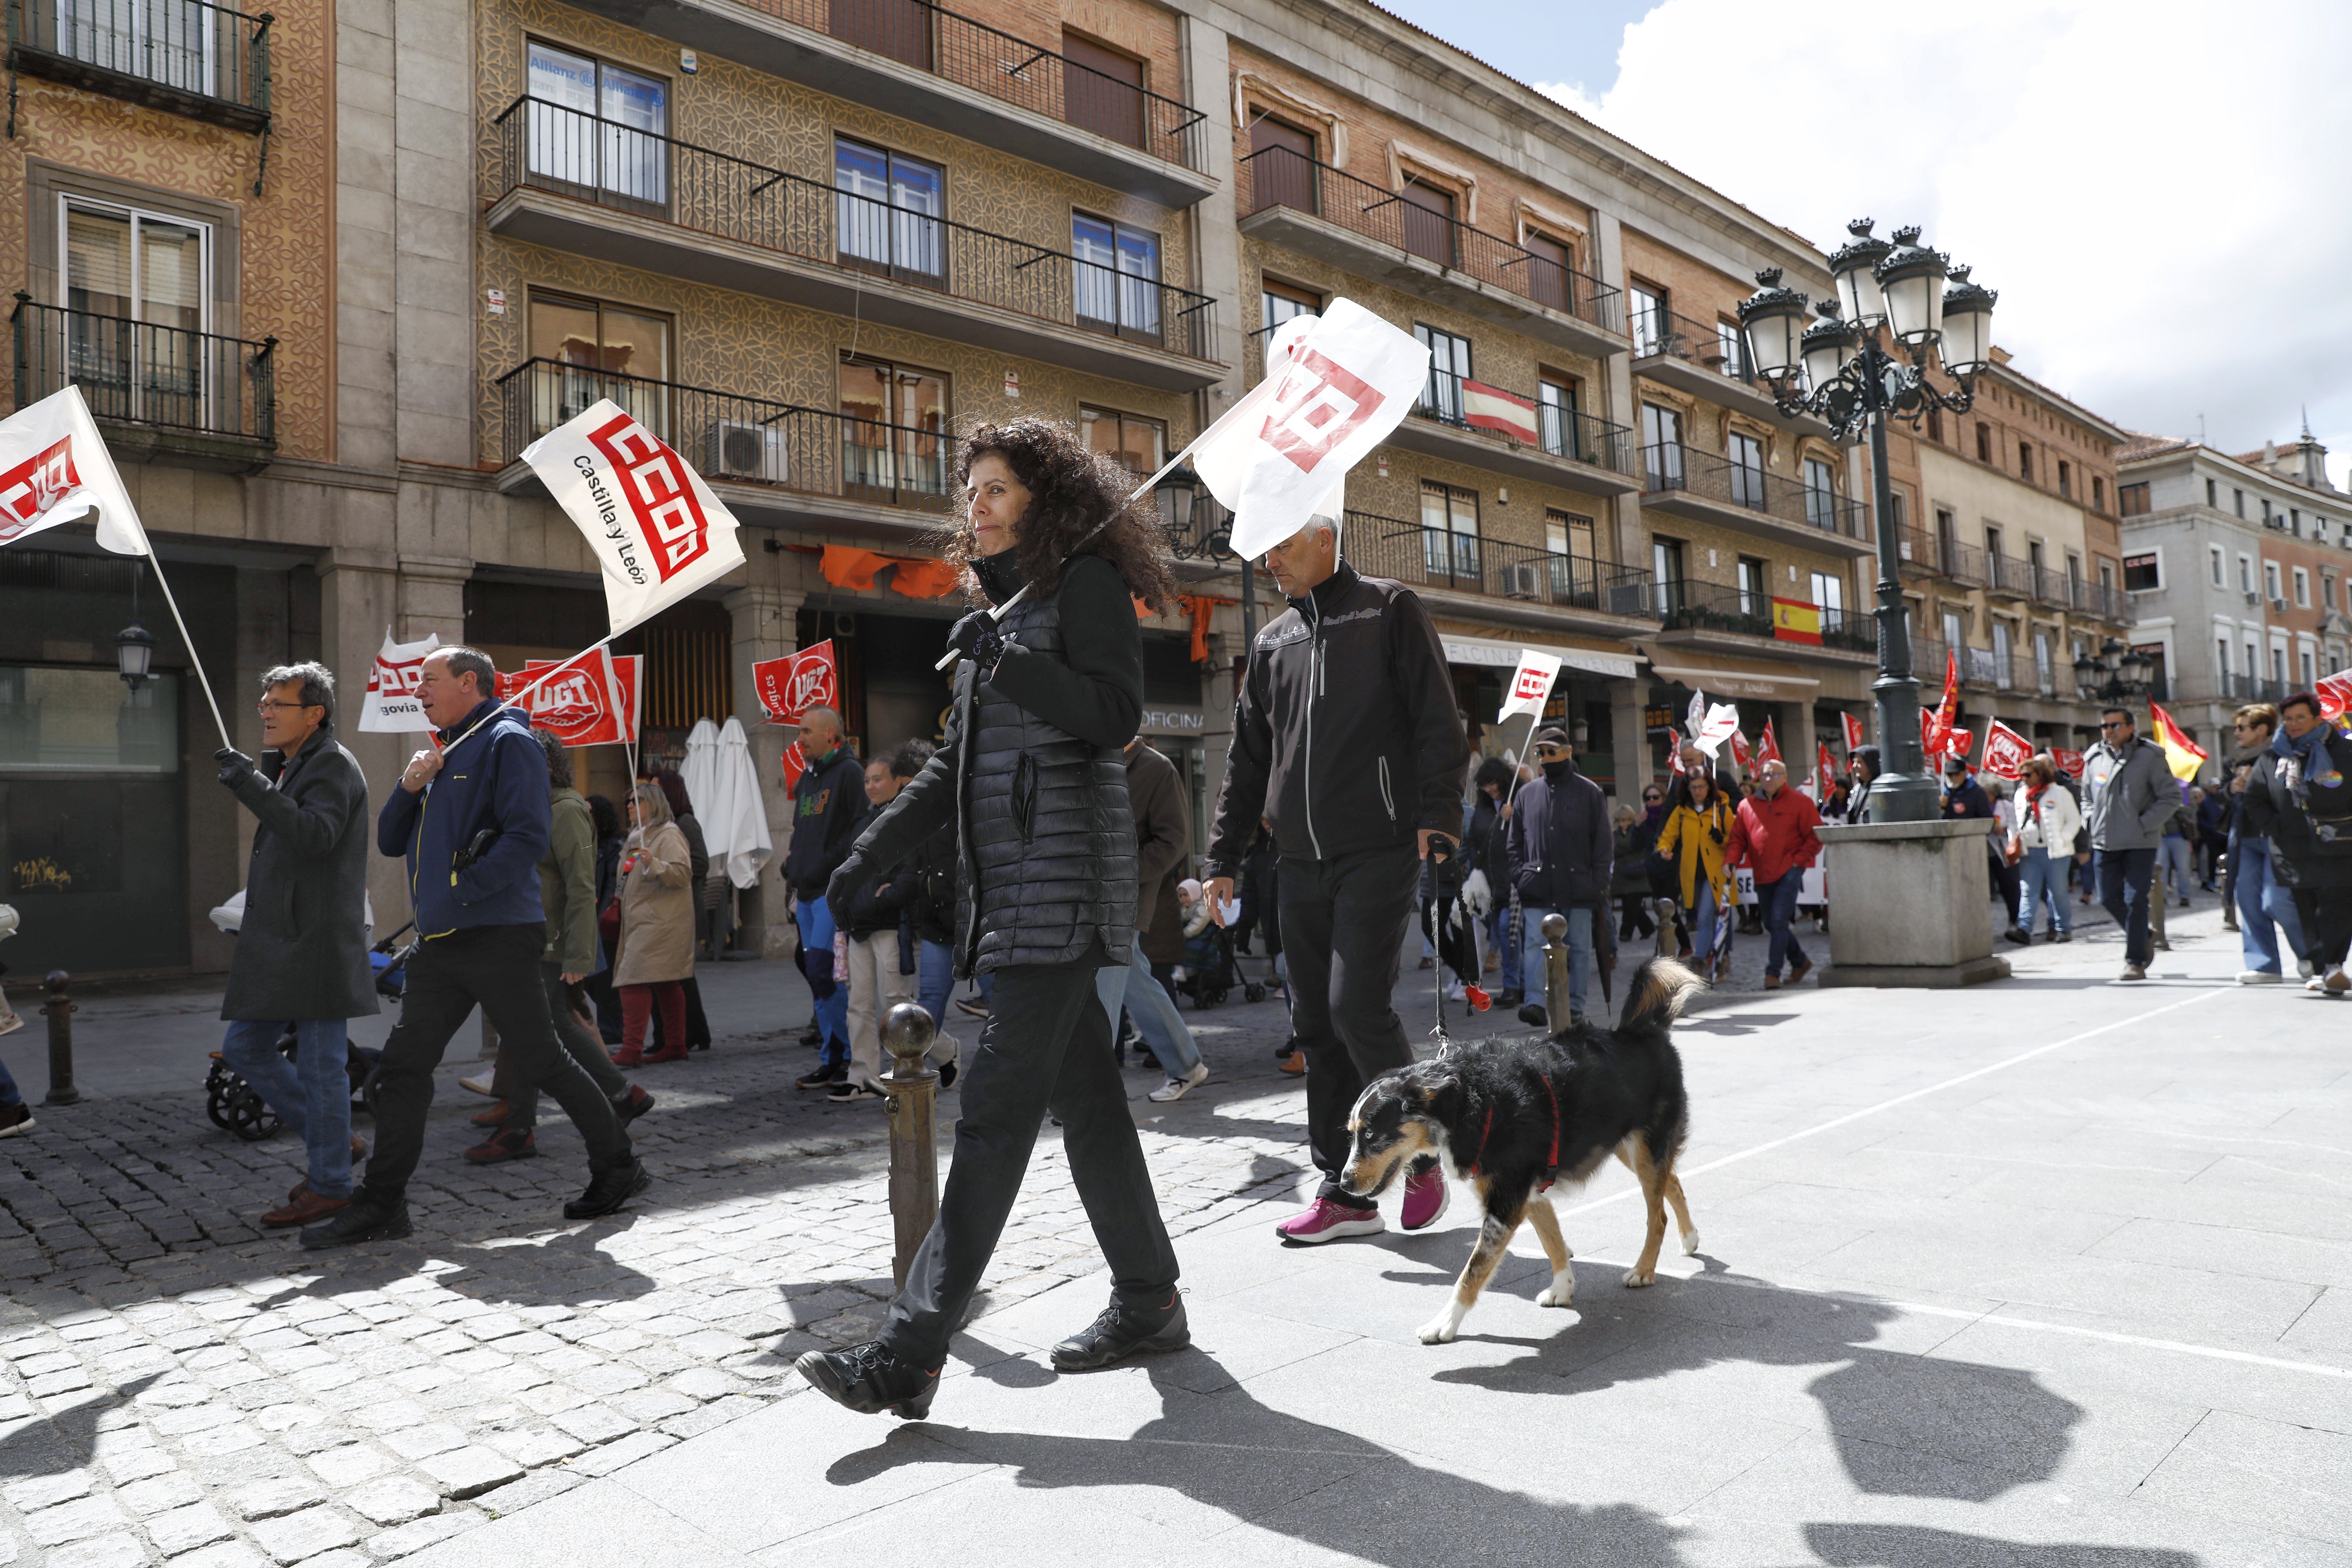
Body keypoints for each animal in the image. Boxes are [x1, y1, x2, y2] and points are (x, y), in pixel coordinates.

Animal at [1336, 959, 1703, 1354]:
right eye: (1352, 1134)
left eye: (1371, 1135)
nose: (1343, 1183)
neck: (1468, 1101)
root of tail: (1642, 1029)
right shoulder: (1529, 1194)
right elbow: (1552, 1242)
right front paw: (1562, 1288)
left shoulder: (1505, 1204)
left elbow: (1471, 1273)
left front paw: (1444, 1324)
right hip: (1626, 1145)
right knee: (1674, 1182)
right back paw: (1690, 1238)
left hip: (1644, 1147)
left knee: (1658, 1215)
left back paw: (1645, 1270)